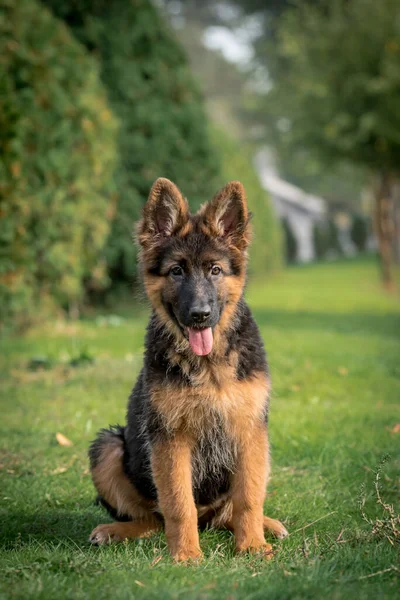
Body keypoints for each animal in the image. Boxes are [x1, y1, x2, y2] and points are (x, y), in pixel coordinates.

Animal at [88, 176, 288, 560]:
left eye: (215, 270)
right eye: (176, 271)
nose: (199, 316)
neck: (208, 364)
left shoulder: (249, 429)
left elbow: (248, 498)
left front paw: (253, 545)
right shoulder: (170, 438)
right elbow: (178, 504)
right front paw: (185, 556)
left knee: (228, 511)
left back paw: (266, 525)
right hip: (107, 446)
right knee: (153, 518)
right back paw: (115, 530)